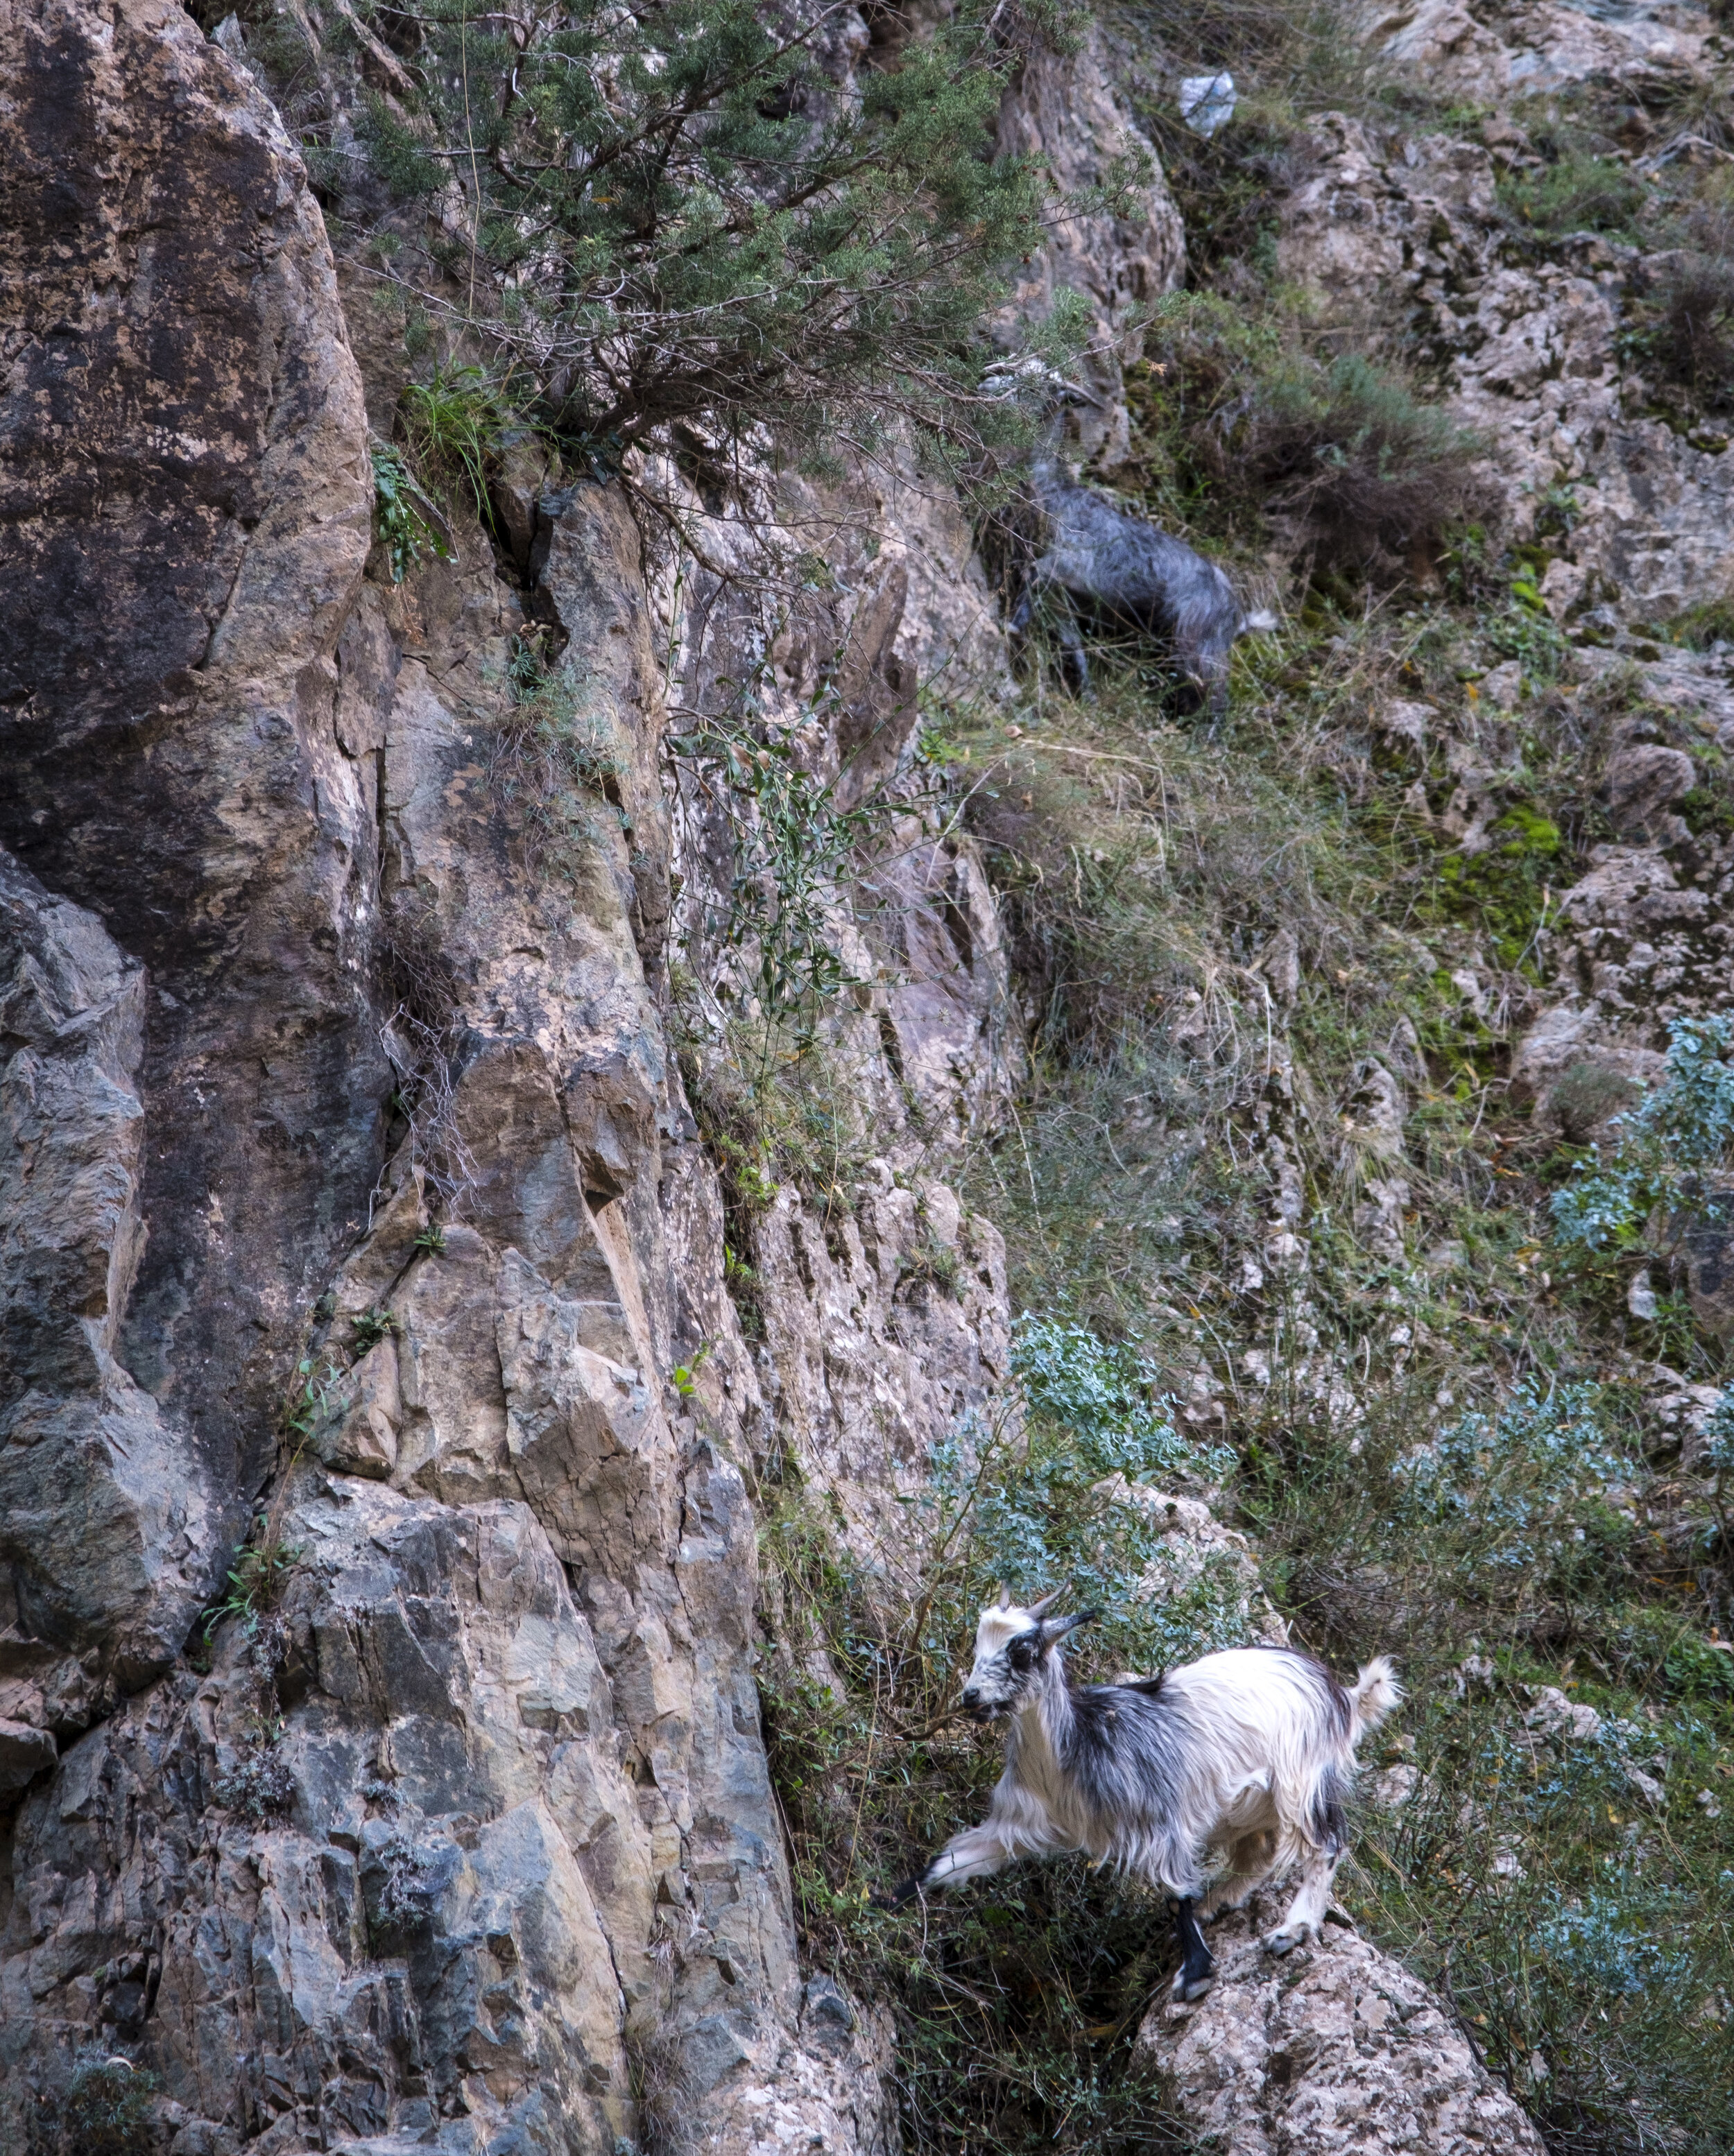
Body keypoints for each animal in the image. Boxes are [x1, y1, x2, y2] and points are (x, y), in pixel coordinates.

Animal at [878, 1588, 1400, 2002]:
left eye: (1023, 1650)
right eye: (979, 1641)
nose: (971, 1697)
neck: (1068, 1752)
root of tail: (1343, 1694)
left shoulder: (1158, 1819)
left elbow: (1175, 1891)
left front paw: (1195, 1974)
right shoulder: (1021, 1825)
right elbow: (945, 1864)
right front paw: (880, 1902)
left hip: (1301, 1779)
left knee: (1326, 1844)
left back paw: (1291, 1930)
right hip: (1253, 1806)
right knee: (1259, 1853)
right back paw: (1220, 1902)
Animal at [986, 360, 1275, 710]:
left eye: (1036, 385)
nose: (987, 383)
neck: (1056, 490)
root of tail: (1238, 613)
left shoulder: (1067, 564)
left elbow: (1035, 574)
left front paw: (1012, 627)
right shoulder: (1062, 598)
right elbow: (1074, 646)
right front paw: (1089, 698)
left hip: (1200, 645)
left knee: (1216, 699)